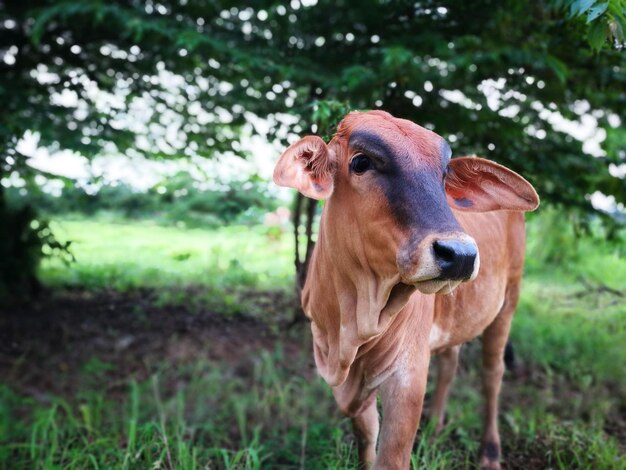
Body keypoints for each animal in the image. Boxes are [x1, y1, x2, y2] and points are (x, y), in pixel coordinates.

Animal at [272, 111, 536, 470]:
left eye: (443, 175)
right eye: (360, 162)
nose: (460, 255)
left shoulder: (407, 377)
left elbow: (391, 456)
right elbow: (367, 438)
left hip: (508, 300)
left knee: (492, 373)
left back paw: (489, 451)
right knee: (450, 361)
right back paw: (436, 426)